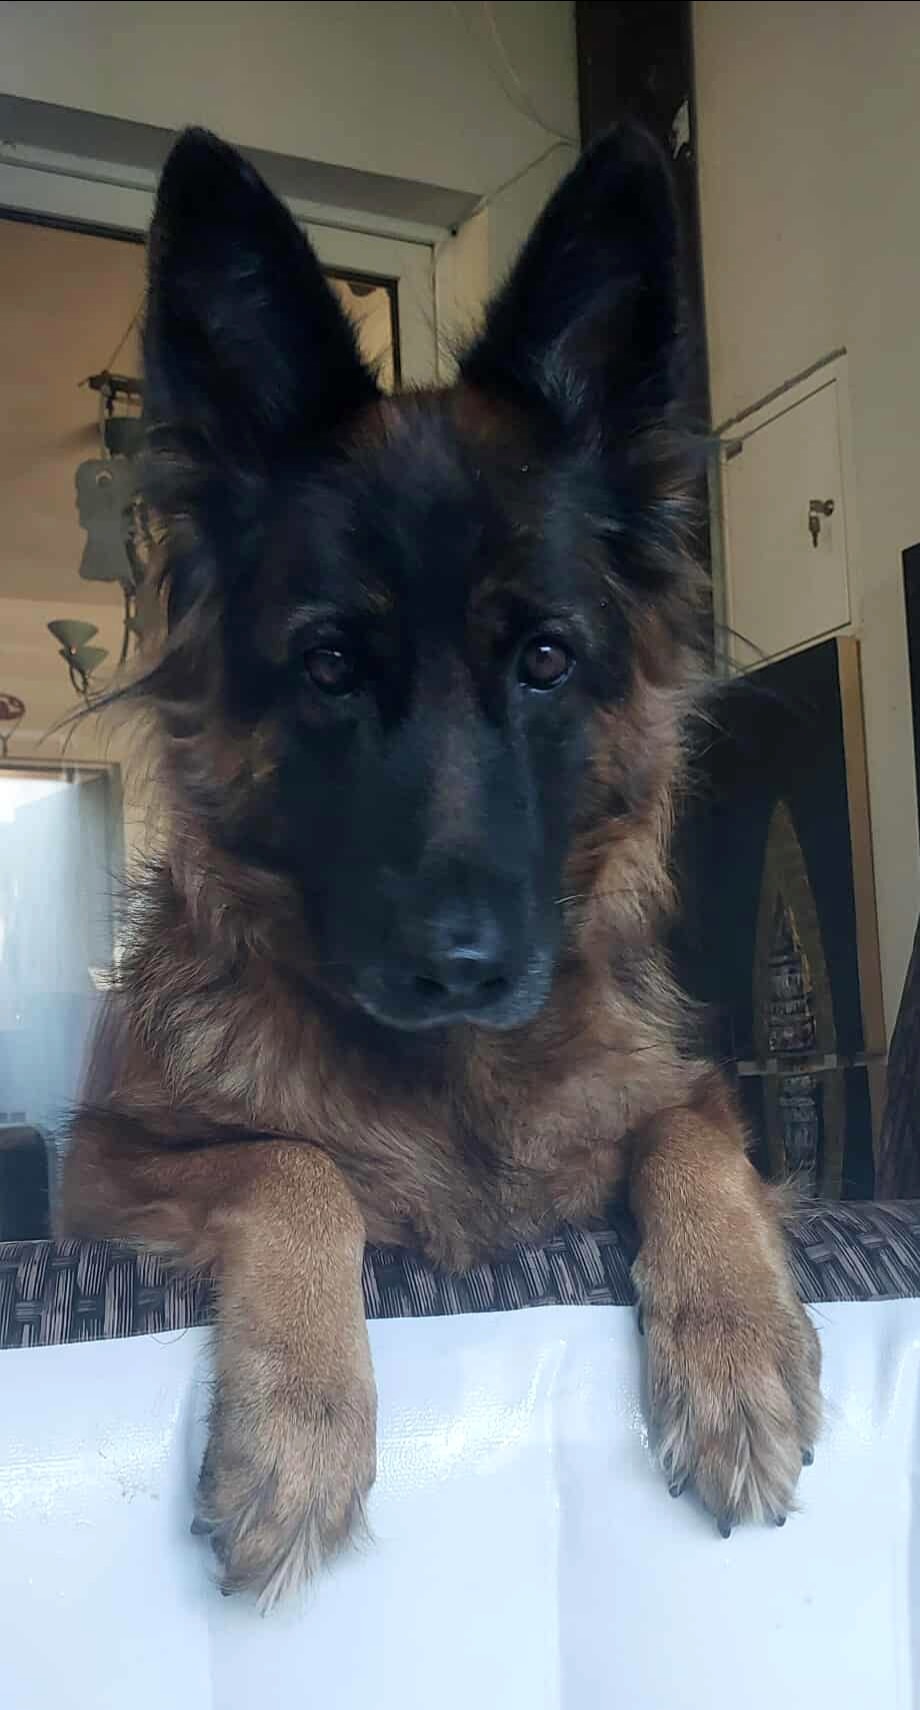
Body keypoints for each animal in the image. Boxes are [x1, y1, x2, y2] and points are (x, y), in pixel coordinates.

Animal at [61, 124, 821, 1606]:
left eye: (545, 659)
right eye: (329, 667)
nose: (460, 967)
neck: (454, 1078)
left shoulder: (680, 1094)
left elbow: (693, 1138)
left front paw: (738, 1345)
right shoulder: (103, 1168)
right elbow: (291, 1164)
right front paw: (299, 1420)